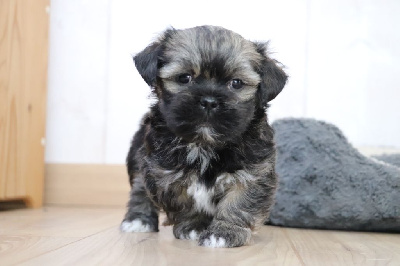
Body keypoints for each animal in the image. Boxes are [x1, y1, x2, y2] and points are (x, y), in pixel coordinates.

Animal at [120, 25, 286, 247]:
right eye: (184, 78)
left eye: (236, 83)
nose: (209, 101)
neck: (204, 144)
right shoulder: (163, 173)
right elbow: (184, 202)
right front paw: (194, 226)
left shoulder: (254, 172)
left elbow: (240, 201)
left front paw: (225, 232)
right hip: (139, 159)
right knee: (139, 190)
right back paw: (138, 220)